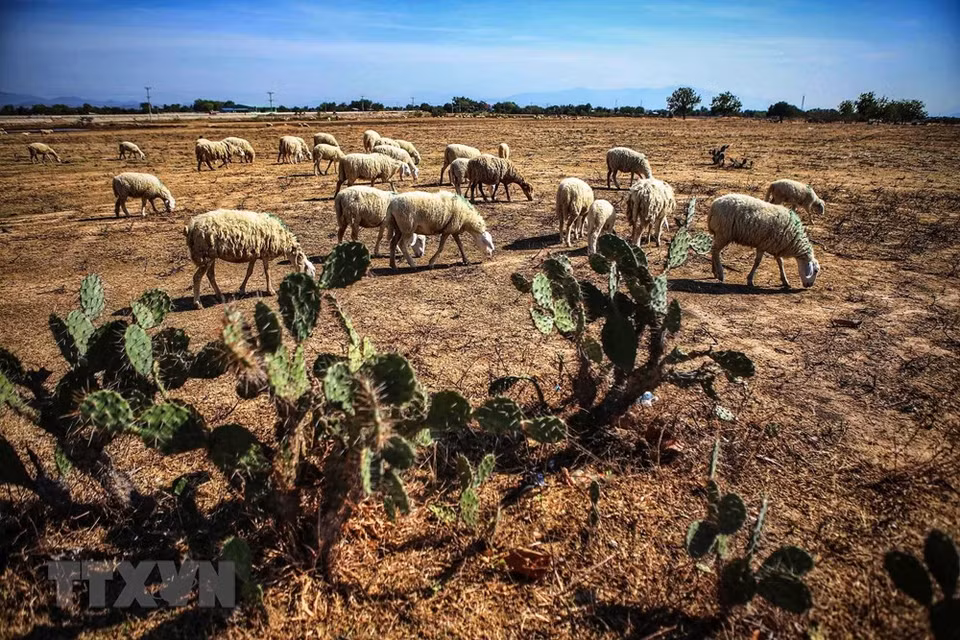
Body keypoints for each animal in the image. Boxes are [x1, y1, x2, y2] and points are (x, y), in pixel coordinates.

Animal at [184, 209, 316, 308]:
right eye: (310, 271)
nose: (313, 290)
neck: (284, 240)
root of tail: (190, 227)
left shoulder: (255, 253)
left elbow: (249, 272)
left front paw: (242, 289)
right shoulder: (265, 253)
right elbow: (267, 272)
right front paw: (270, 291)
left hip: (211, 256)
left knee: (210, 275)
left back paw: (220, 296)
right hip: (204, 255)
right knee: (197, 277)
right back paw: (198, 303)